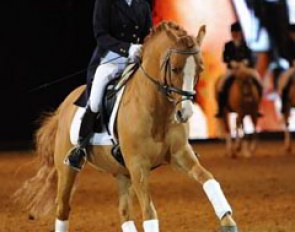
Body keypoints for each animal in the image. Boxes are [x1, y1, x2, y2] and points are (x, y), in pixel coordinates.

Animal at [15, 22, 239, 232]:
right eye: (174, 68)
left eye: (200, 69)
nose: (185, 113)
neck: (156, 109)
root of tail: (64, 105)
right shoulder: (138, 165)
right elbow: (149, 212)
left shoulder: (179, 154)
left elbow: (208, 179)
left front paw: (228, 221)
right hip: (67, 169)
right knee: (63, 208)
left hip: (122, 173)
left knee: (124, 213)